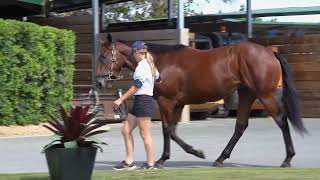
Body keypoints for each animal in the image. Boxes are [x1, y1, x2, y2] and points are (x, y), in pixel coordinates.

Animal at [96, 33, 306, 167]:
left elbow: (167, 130)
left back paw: (288, 159)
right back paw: (221, 158)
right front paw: (175, 155)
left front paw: (172, 157)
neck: (160, 62)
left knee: (281, 120)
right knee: (241, 125)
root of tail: (270, 52)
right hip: (247, 94)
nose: (99, 82)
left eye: (104, 56)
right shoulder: (178, 104)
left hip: (265, 95)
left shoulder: (166, 101)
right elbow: (172, 130)